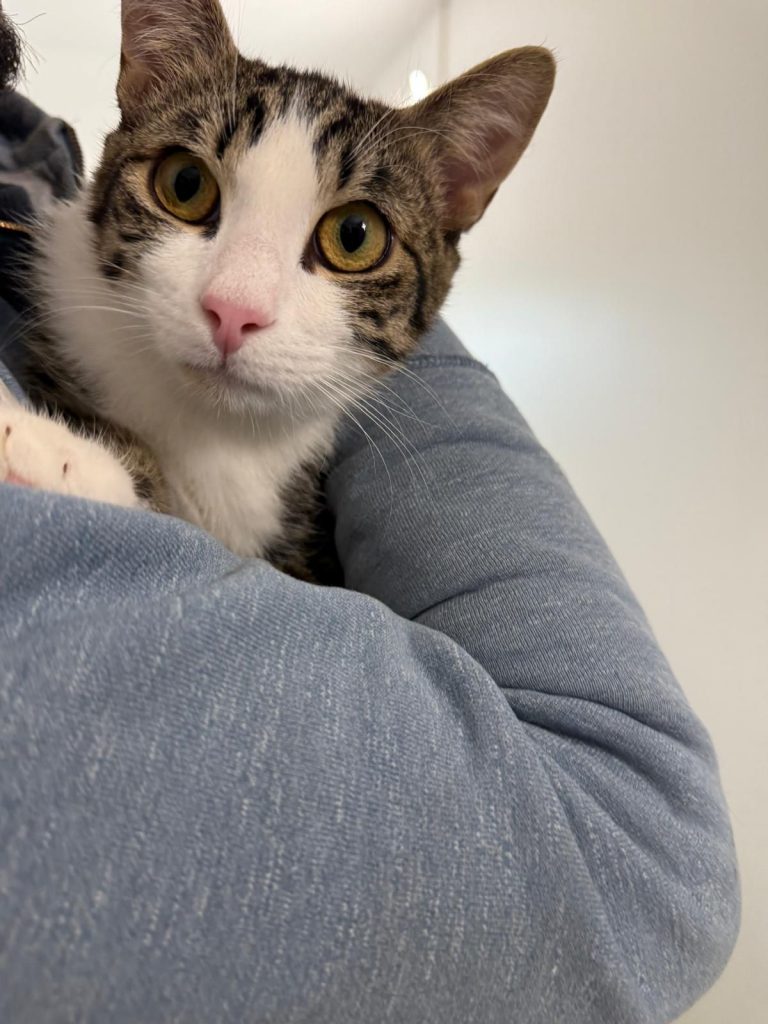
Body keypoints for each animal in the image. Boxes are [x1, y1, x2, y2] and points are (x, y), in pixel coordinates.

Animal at [1, 0, 555, 579]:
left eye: (354, 235)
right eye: (185, 184)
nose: (232, 310)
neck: (213, 427)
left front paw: (59, 457)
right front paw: (56, 448)